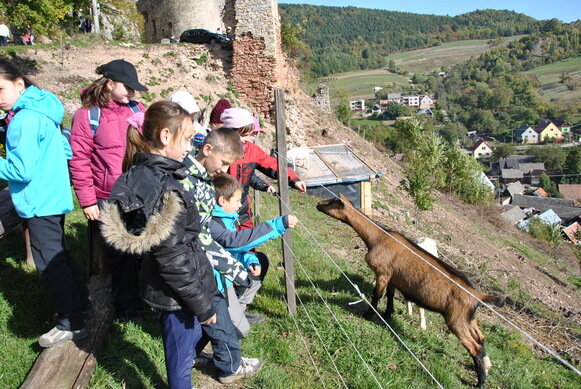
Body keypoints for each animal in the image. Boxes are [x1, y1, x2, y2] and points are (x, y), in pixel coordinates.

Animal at [314, 192, 500, 386]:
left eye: (332, 202)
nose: (318, 204)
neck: (377, 237)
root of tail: (478, 295)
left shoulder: (382, 273)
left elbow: (376, 295)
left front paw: (369, 314)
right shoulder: (393, 277)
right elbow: (389, 295)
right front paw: (388, 314)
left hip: (456, 319)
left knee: (474, 346)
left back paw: (480, 382)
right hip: (468, 318)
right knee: (481, 338)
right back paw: (484, 369)